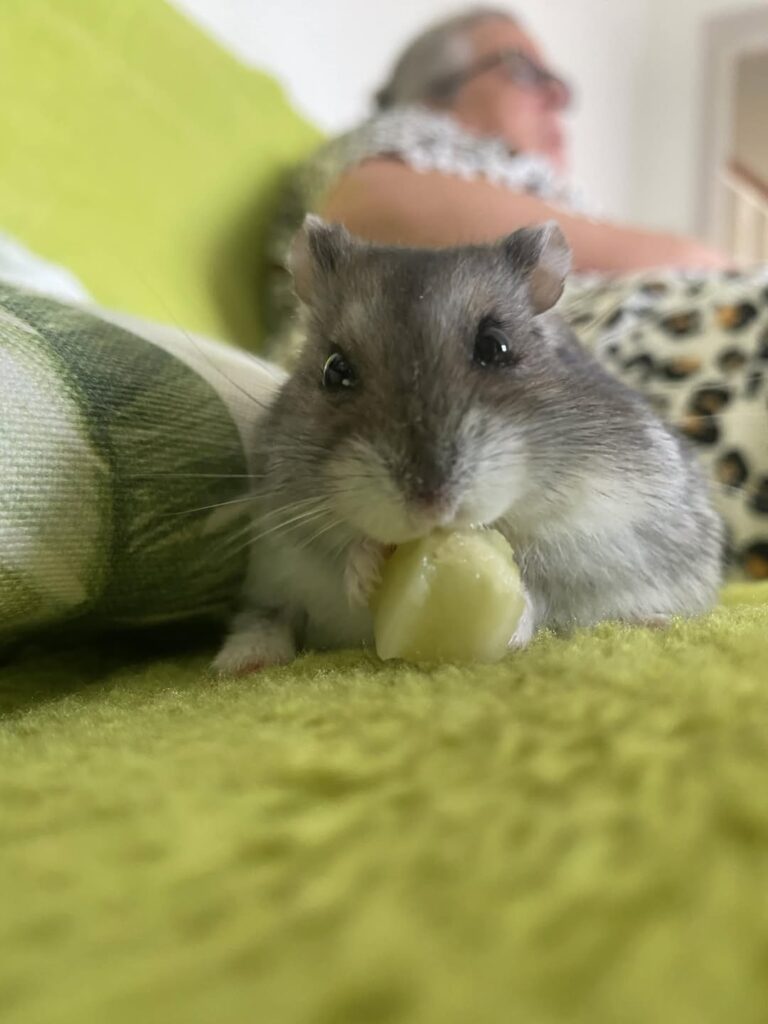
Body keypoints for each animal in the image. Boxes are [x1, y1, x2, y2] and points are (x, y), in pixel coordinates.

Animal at [213, 216, 723, 673]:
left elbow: (542, 580)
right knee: (267, 616)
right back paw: (241, 664)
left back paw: (652, 621)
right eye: (334, 370)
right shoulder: (284, 527)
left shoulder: (601, 526)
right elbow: (338, 550)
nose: (431, 507)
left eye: (495, 345)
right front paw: (364, 574)